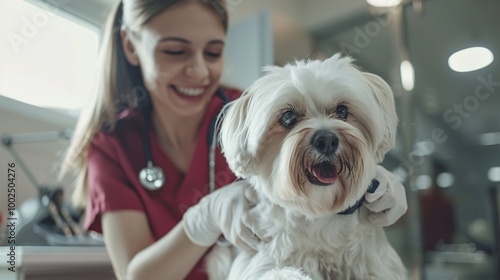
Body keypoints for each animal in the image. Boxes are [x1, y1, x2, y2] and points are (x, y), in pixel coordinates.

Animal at [207, 54, 406, 280]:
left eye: (342, 111)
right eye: (287, 117)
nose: (327, 140)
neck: (319, 213)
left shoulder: (379, 264)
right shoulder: (258, 261)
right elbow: (276, 272)